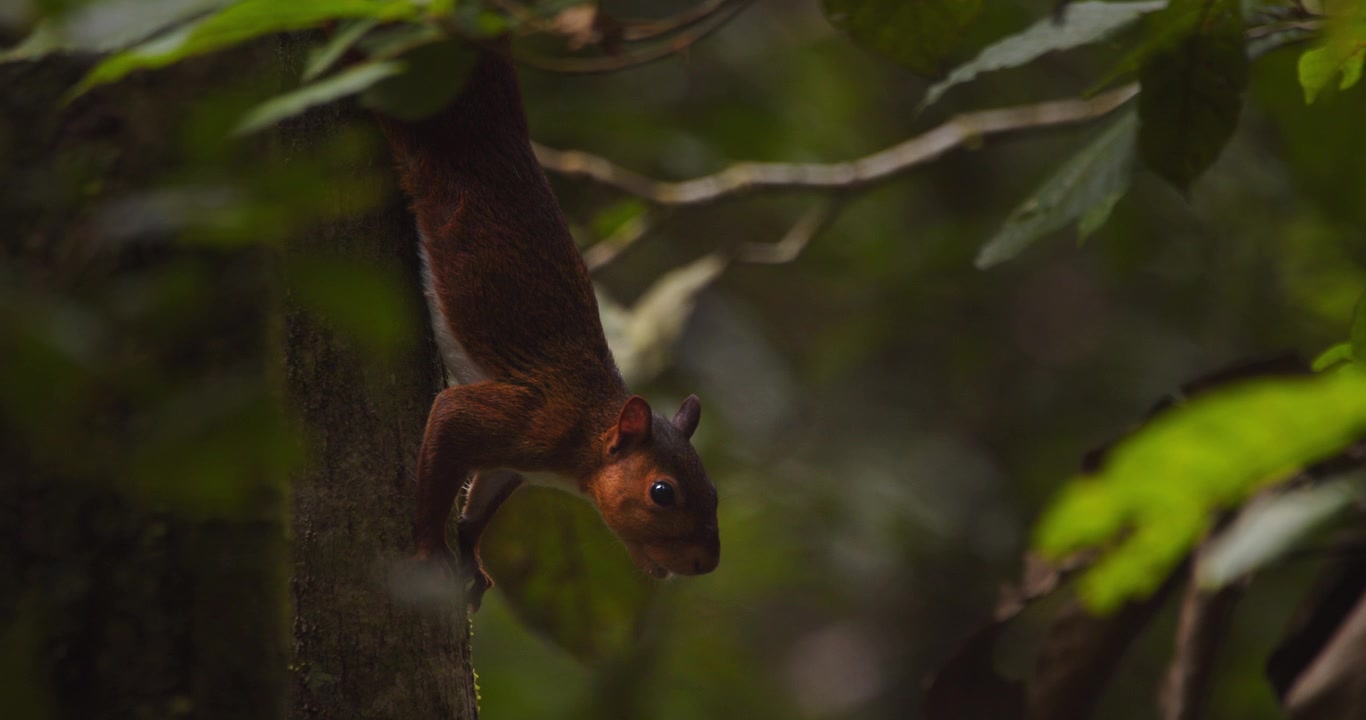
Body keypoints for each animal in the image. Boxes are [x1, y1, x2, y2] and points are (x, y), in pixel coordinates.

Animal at [377, 46, 720, 610]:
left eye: (713, 492)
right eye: (662, 493)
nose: (705, 564)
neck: (584, 439)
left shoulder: (511, 465)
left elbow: (478, 508)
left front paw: (471, 558)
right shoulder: (530, 416)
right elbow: (447, 422)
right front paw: (429, 548)